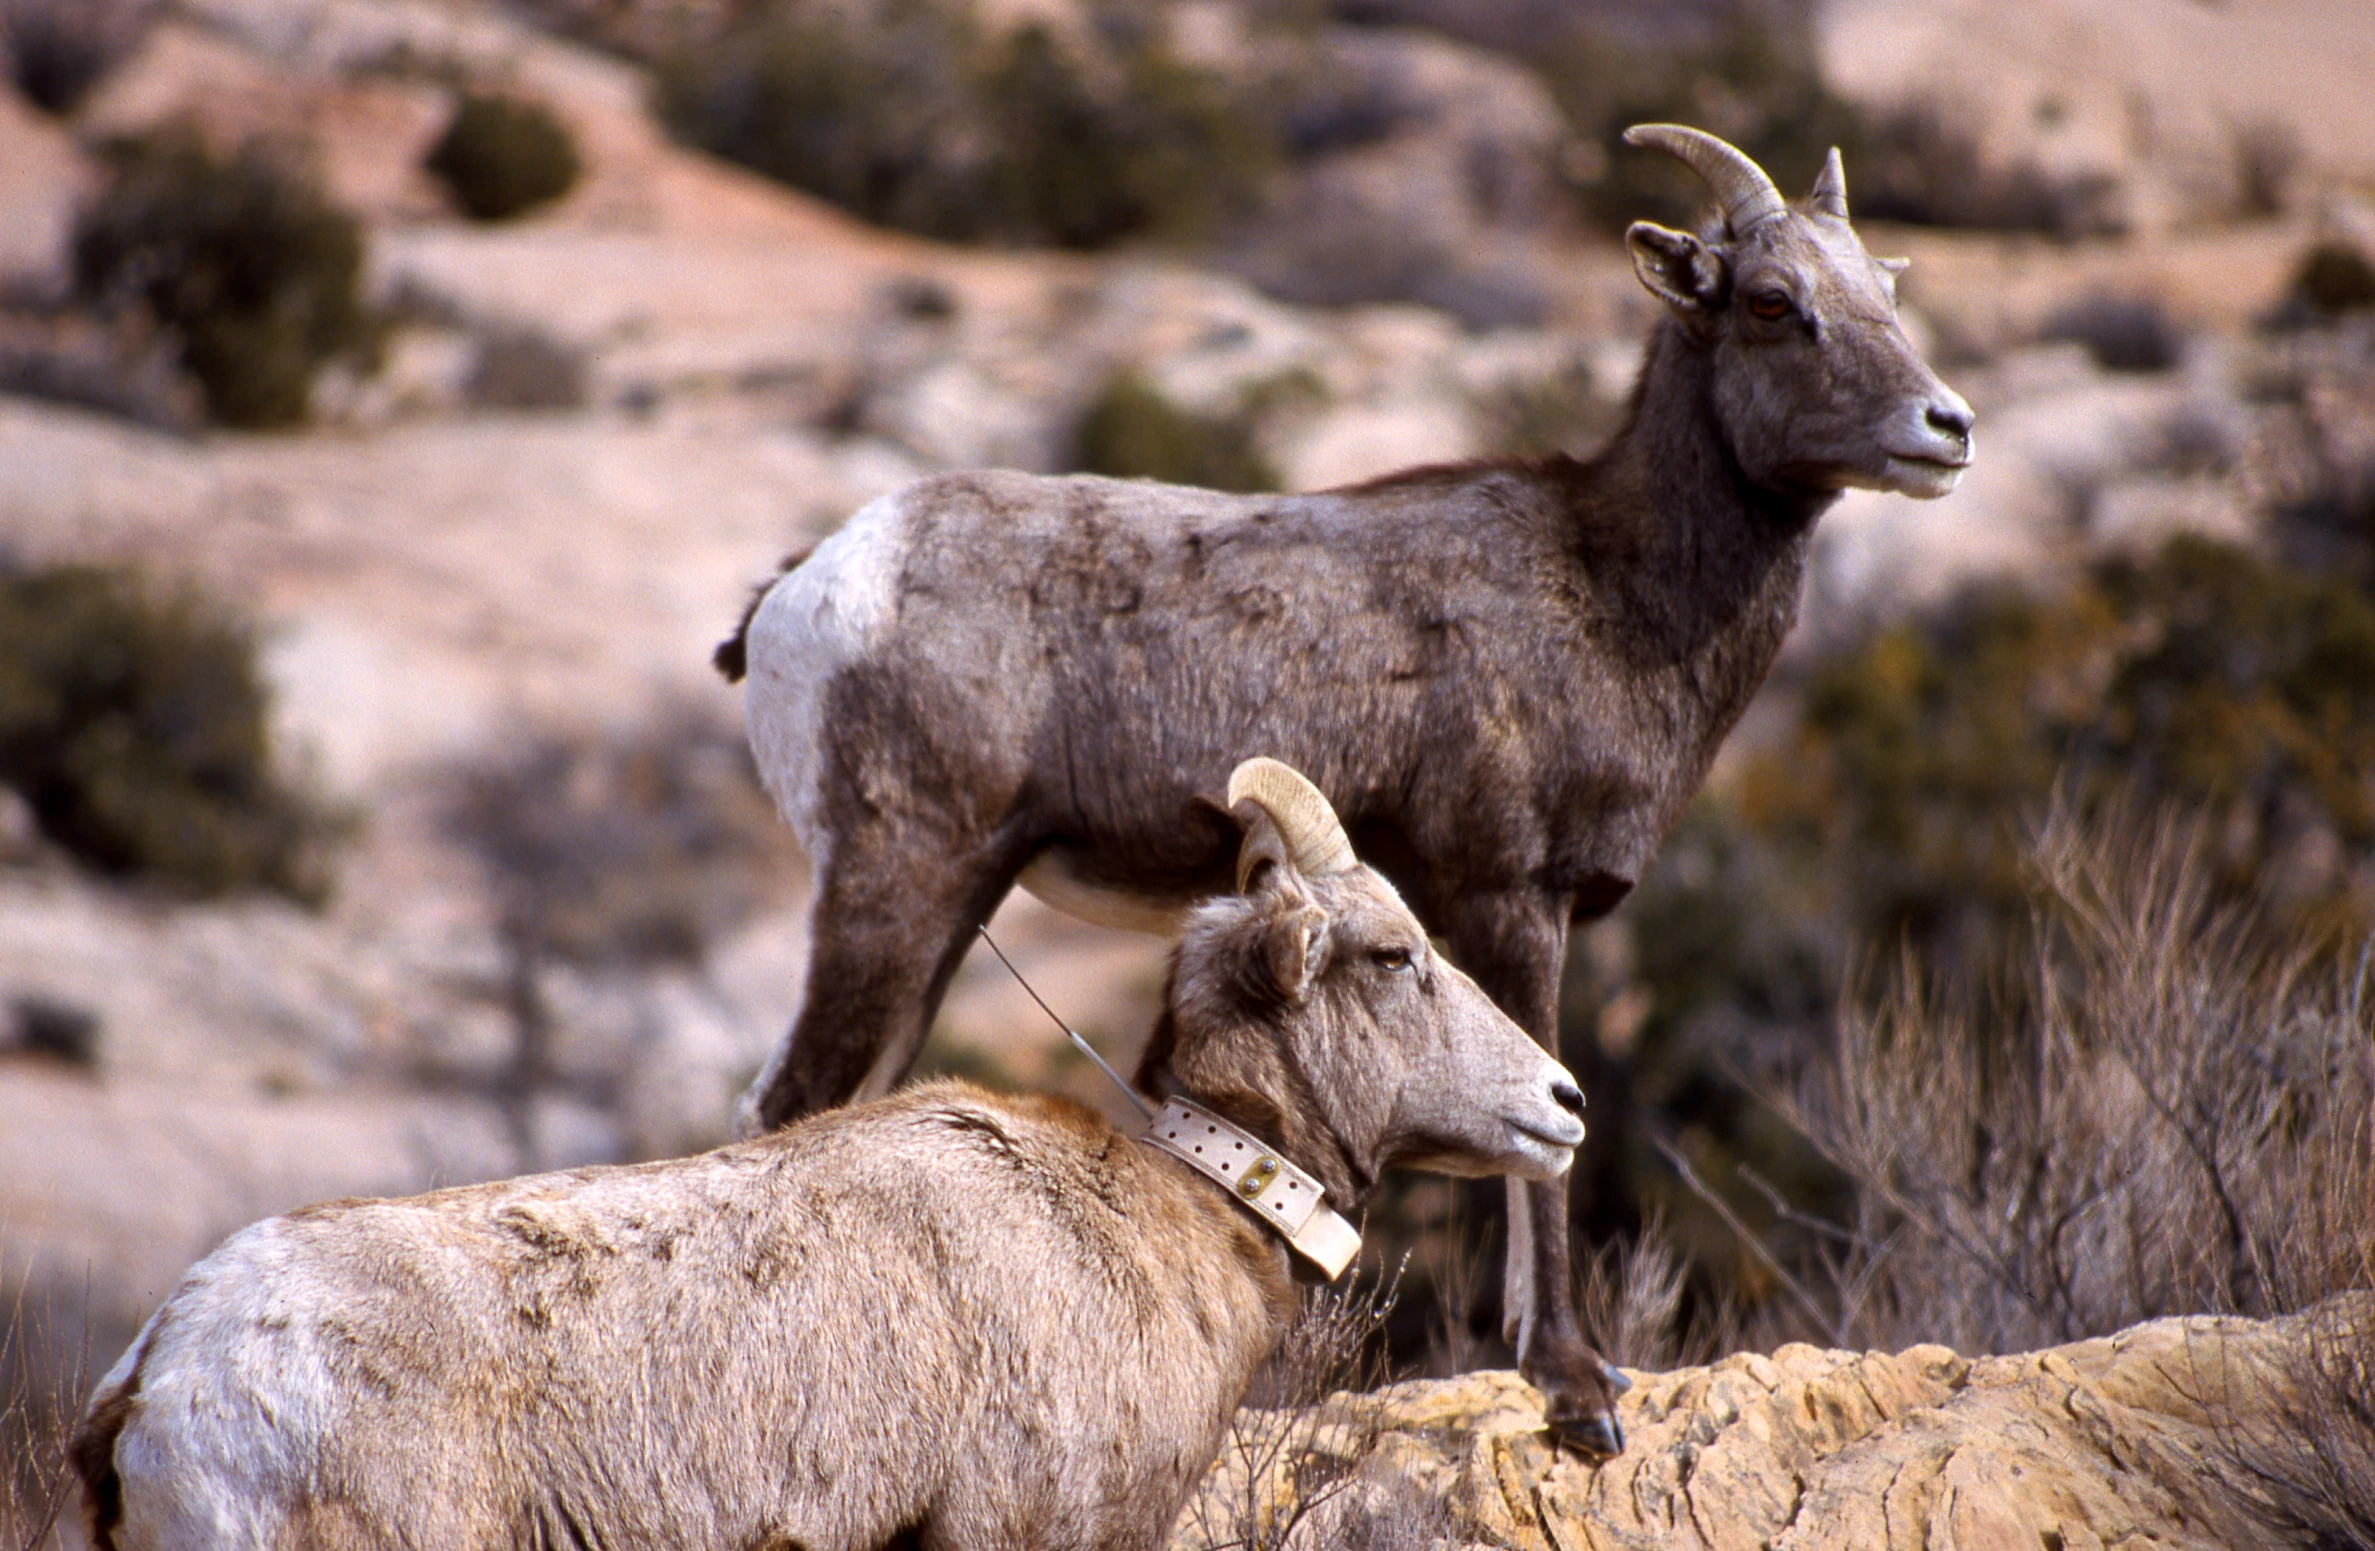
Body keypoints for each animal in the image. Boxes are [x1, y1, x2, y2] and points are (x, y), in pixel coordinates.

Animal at [712, 121, 1976, 1453]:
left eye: (1883, 289)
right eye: (1774, 302)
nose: (1945, 427)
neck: (1615, 592)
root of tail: (803, 589)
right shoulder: (1508, 896)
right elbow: (1547, 1149)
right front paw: (1572, 1390)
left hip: (948, 910)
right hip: (895, 887)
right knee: (786, 1101)